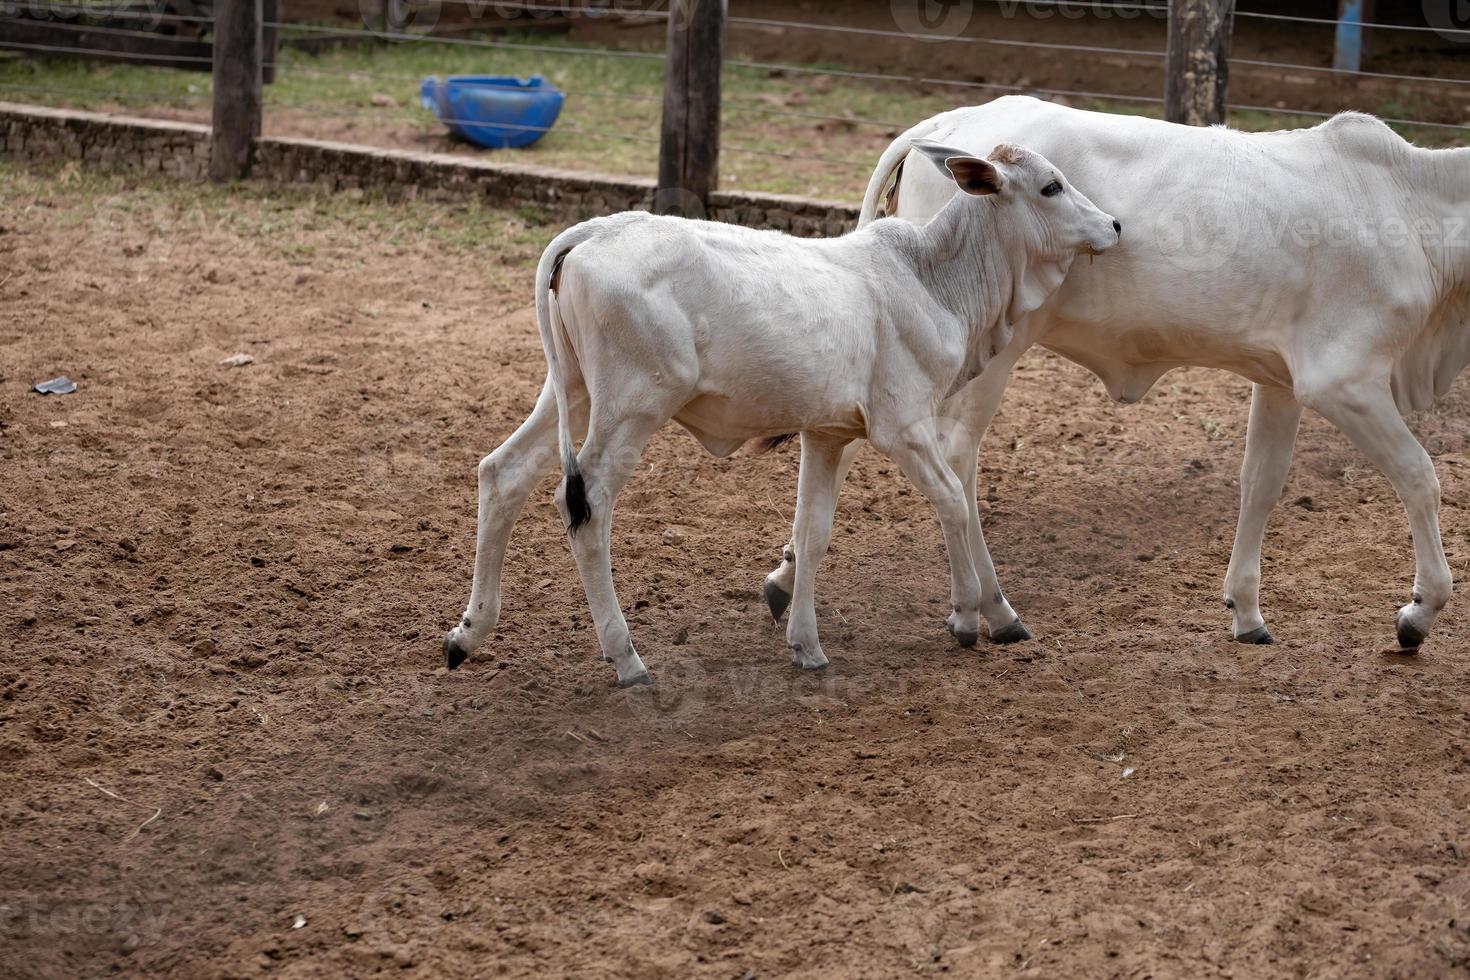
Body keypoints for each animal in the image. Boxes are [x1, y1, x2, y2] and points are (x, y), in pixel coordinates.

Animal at [441, 141, 1117, 687]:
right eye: (1051, 186)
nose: (1112, 223)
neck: (931, 278)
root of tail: (589, 234)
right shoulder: (903, 427)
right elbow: (953, 500)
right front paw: (968, 615)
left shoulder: (827, 434)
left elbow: (811, 533)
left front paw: (807, 645)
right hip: (631, 407)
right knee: (586, 504)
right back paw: (626, 657)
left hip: (571, 389)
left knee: (503, 472)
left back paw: (467, 634)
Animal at [764, 97, 1464, 652]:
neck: (1408, 201)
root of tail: (948, 121)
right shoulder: (1343, 381)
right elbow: (1420, 477)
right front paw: (1418, 612)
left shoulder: (1281, 381)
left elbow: (1261, 484)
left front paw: (1247, 611)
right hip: (990, 349)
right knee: (956, 461)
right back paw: (992, 609)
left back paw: (787, 580)